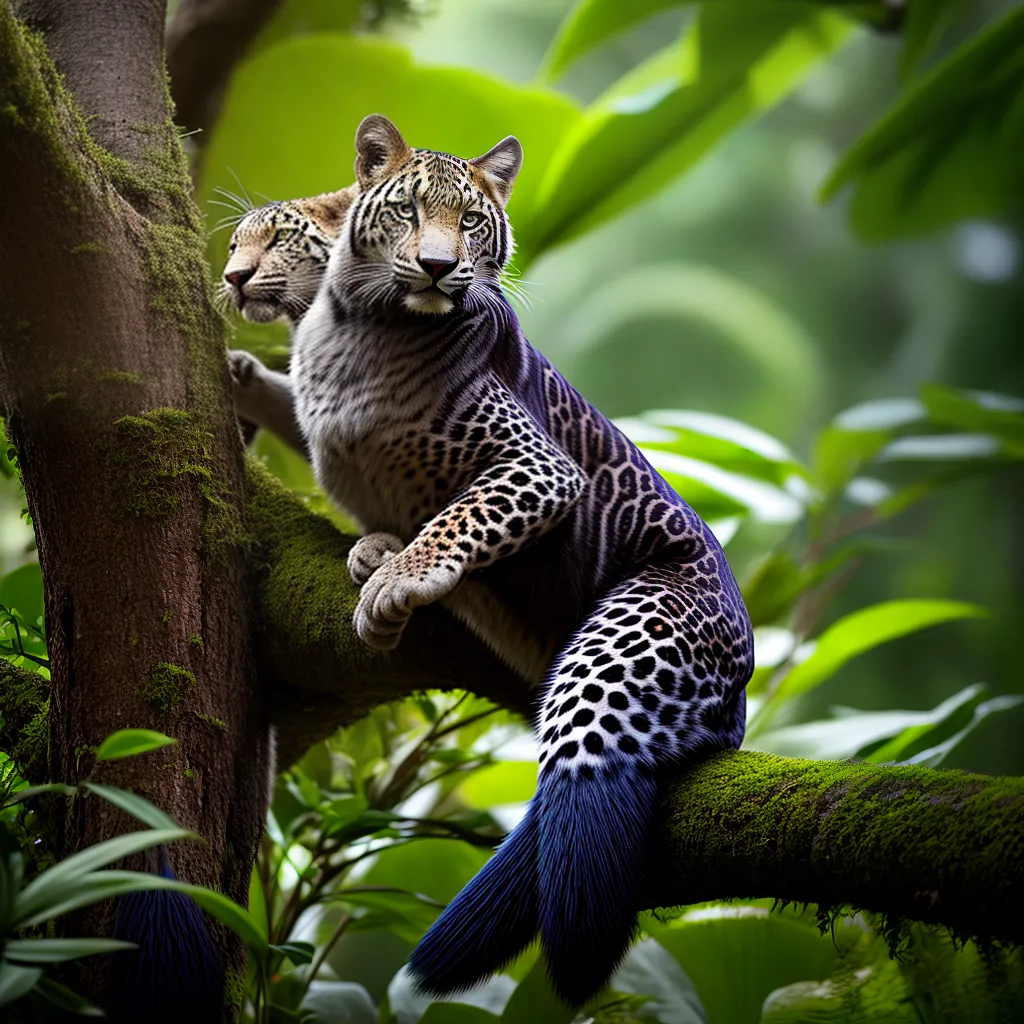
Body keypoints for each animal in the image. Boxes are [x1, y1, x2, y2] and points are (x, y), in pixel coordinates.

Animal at [227, 115, 753, 1008]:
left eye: (467, 221)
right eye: (406, 213)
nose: (231, 277)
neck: (347, 329)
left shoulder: (538, 467)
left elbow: (462, 515)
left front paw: (399, 580)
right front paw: (372, 543)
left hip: (630, 639)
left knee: (586, 765)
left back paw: (561, 962)